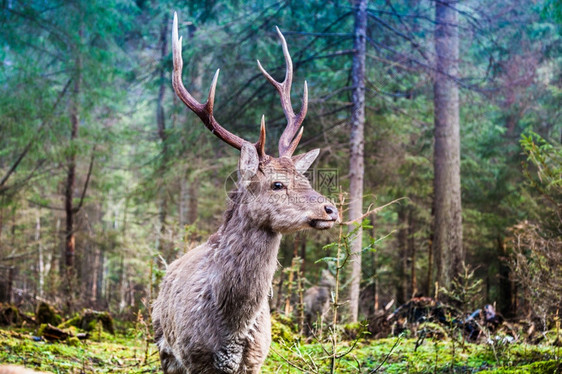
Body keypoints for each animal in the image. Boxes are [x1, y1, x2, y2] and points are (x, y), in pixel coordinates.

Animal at [149, 13, 340, 372]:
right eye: (277, 184)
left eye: (304, 178)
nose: (331, 209)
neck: (232, 328)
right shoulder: (194, 358)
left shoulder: (256, 360)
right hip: (162, 346)